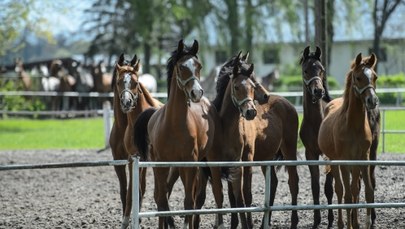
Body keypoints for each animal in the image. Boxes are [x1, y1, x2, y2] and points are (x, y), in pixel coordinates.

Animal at [109, 52, 163, 228]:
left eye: (136, 82)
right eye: (119, 81)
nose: (127, 102)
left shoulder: (137, 160)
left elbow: (136, 190)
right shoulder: (123, 160)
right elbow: (126, 191)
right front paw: (126, 219)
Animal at [133, 39, 216, 227]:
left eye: (199, 65)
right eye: (181, 67)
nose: (197, 92)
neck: (174, 125)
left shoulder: (190, 165)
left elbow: (188, 203)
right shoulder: (160, 165)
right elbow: (162, 200)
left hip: (194, 165)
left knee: (195, 198)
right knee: (163, 195)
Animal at [318, 52, 378, 228]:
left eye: (375, 77)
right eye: (358, 77)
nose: (373, 101)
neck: (352, 126)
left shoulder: (363, 158)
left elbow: (365, 192)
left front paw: (362, 223)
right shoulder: (344, 160)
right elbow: (347, 195)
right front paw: (351, 224)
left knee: (353, 189)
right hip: (334, 161)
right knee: (339, 190)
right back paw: (341, 223)